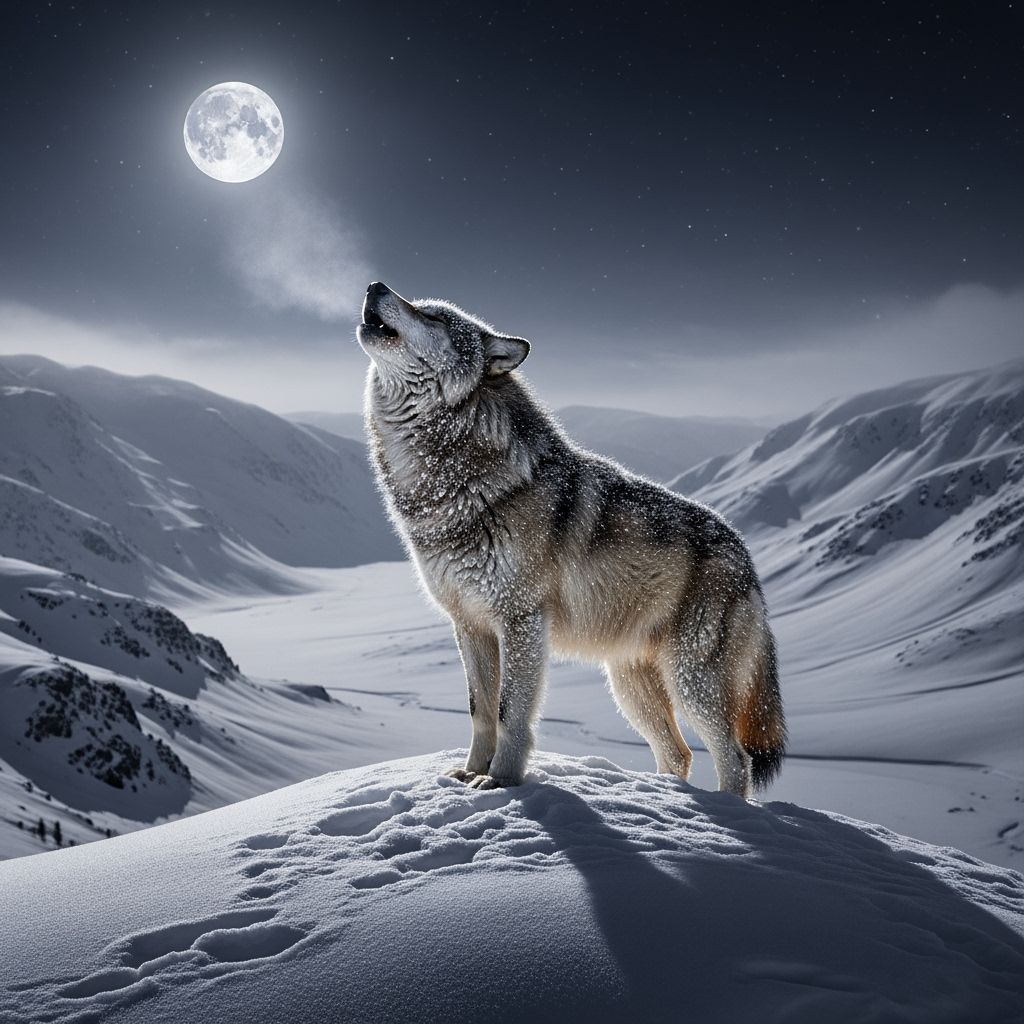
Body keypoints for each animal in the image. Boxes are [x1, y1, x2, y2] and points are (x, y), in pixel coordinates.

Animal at [357, 281, 786, 798]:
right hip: (630, 686)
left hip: (690, 680)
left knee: (736, 759)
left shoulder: (520, 619)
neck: (449, 482)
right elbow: (481, 711)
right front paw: (469, 774)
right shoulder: (470, 625)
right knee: (679, 753)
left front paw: (500, 782)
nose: (375, 286)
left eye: (433, 317)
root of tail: (746, 554)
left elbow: (509, 713)